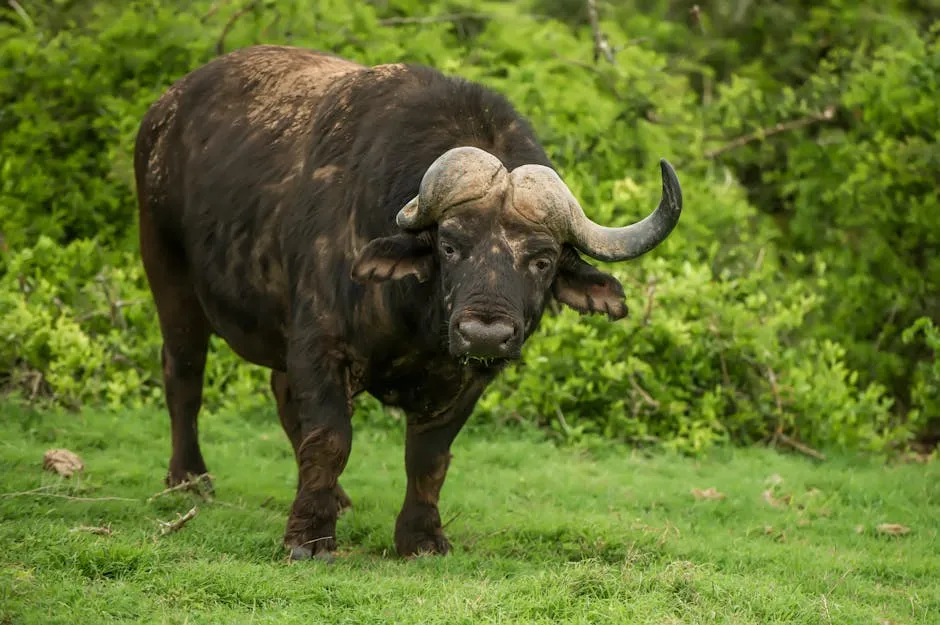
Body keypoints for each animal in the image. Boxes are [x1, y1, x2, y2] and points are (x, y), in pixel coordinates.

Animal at [134, 45, 682, 560]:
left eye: (543, 260)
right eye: (449, 245)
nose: (485, 333)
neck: (418, 322)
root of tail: (163, 113)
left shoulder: (467, 379)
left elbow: (429, 457)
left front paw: (420, 537)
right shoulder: (320, 346)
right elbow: (330, 439)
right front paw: (309, 538)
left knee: (281, 396)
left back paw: (337, 499)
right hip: (170, 279)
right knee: (184, 375)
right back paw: (189, 479)